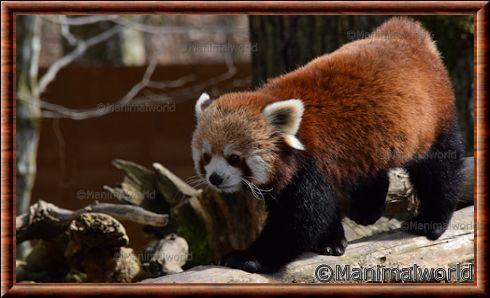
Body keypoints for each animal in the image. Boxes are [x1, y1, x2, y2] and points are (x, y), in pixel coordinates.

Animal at [190, 17, 464, 274]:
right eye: (206, 157)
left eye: (234, 157)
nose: (215, 178)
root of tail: (406, 36)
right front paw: (331, 241)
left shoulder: (312, 163)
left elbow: (302, 218)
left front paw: (249, 257)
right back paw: (367, 209)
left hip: (431, 119)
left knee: (439, 170)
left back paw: (431, 220)